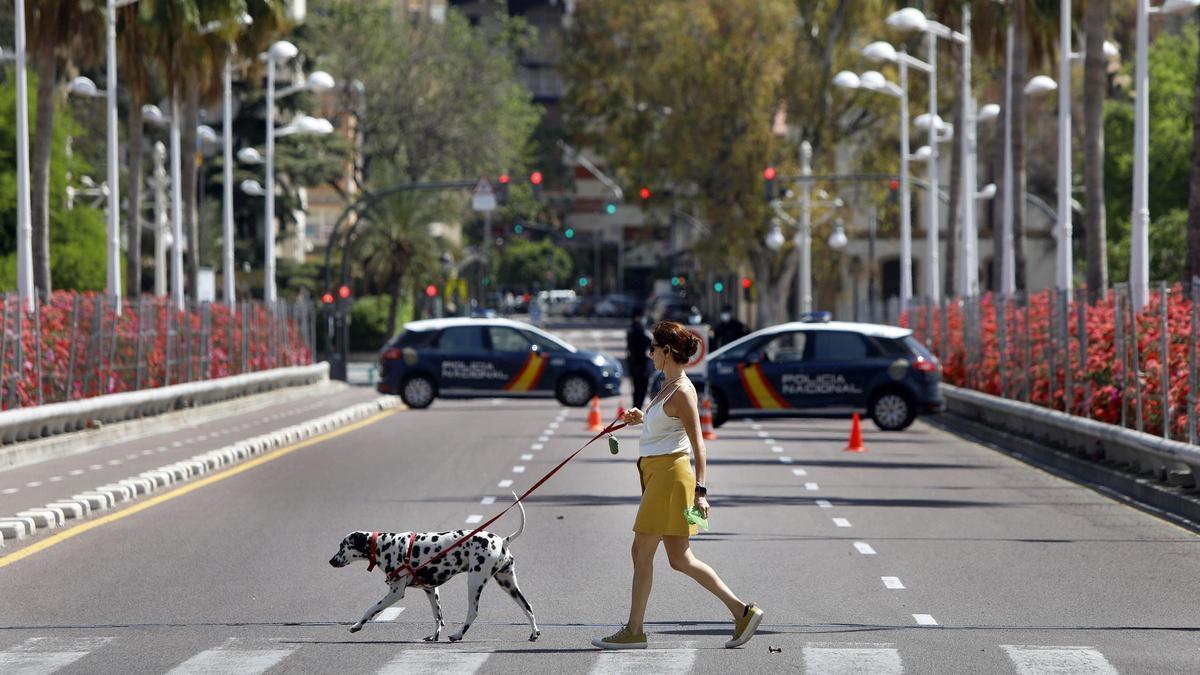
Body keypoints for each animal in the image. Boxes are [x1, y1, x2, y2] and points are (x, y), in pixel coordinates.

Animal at [326, 494, 537, 638]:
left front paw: (357, 625)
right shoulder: (431, 590)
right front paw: (434, 636)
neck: (383, 546)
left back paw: (458, 635)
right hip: (508, 584)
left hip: (474, 582)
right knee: (528, 607)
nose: (331, 561)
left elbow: (370, 610)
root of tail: (502, 541)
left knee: (473, 612)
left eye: (342, 546)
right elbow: (438, 617)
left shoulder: (395, 593)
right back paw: (534, 633)